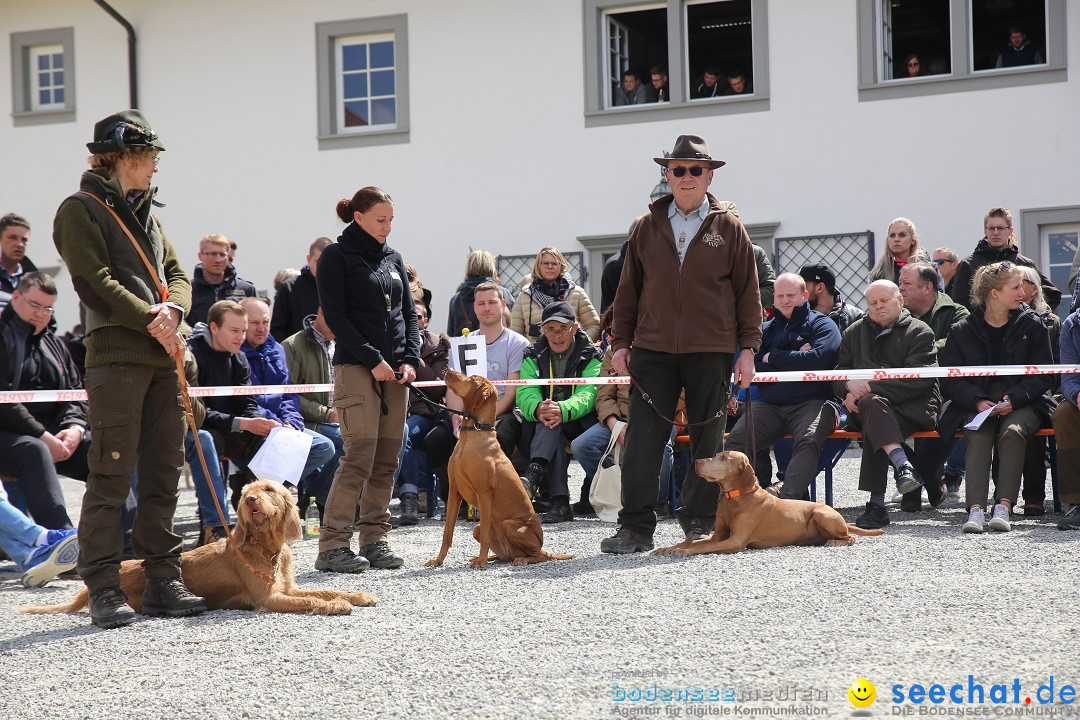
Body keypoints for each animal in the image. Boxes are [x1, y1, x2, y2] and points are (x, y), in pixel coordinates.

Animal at [19, 481, 380, 617]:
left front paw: (357, 596)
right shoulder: (270, 599)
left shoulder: (286, 588)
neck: (265, 547)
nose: (250, 500)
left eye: (268, 489)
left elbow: (326, 589)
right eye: (247, 492)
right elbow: (311, 600)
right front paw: (336, 605)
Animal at [425, 371, 574, 569]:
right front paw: (438, 560)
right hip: (478, 529)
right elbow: (447, 533)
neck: (473, 435)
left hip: (512, 526)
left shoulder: (484, 493)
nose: (447, 371)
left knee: (538, 556)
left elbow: (486, 535)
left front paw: (481, 563)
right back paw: (488, 557)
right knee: (503, 554)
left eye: (472, 378)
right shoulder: (454, 491)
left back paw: (519, 559)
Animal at [652, 451, 881, 557]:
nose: (697, 461)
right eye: (717, 455)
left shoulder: (736, 541)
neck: (735, 498)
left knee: (850, 537)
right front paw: (669, 548)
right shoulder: (719, 535)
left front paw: (684, 552)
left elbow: (703, 547)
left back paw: (835, 542)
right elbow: (692, 542)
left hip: (821, 514)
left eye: (724, 457)